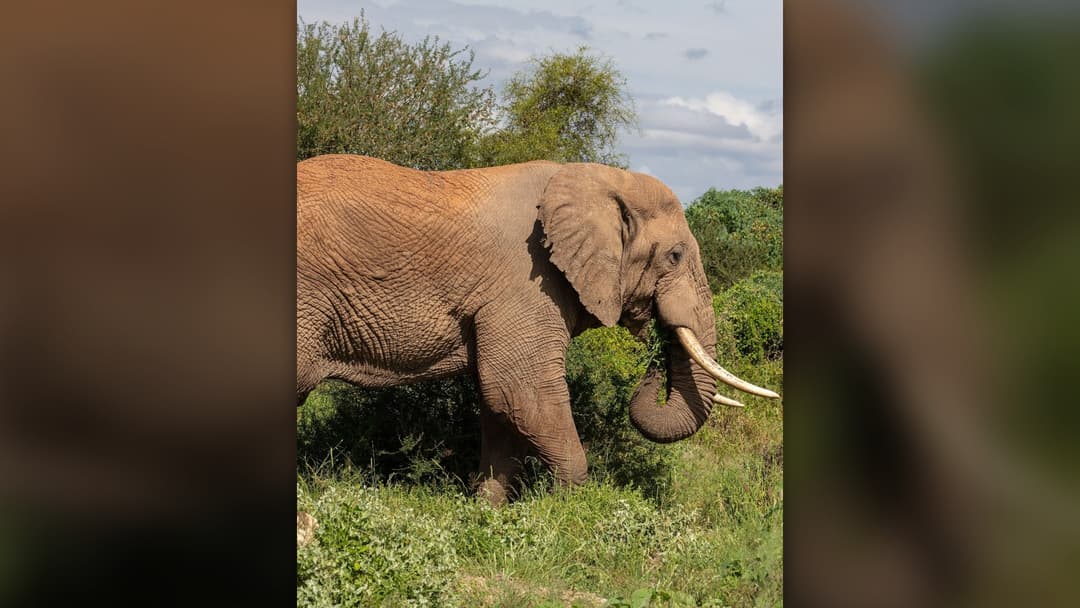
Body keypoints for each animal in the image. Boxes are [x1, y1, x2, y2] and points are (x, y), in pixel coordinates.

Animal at [296, 154, 780, 504]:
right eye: (676, 256)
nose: (656, 342)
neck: (597, 180)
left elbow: (498, 403)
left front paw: (487, 512)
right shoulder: (527, 282)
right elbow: (520, 390)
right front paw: (566, 511)